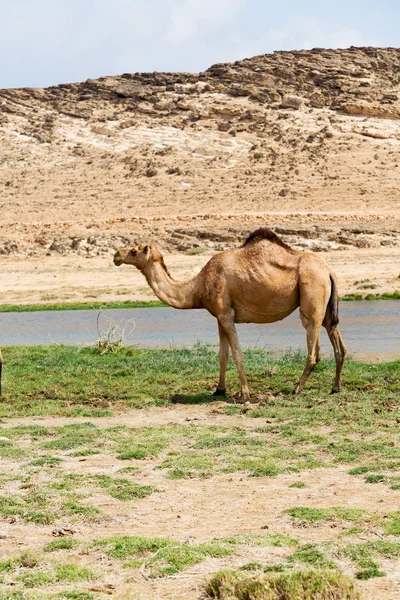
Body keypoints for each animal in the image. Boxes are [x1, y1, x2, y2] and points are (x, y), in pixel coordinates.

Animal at [113, 227, 346, 400]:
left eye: (134, 250)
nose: (116, 255)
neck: (197, 287)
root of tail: (329, 270)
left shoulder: (226, 315)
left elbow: (237, 354)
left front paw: (245, 394)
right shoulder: (219, 316)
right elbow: (222, 355)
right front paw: (219, 390)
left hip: (312, 295)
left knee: (314, 349)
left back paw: (296, 390)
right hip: (327, 306)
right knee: (337, 341)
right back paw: (335, 388)